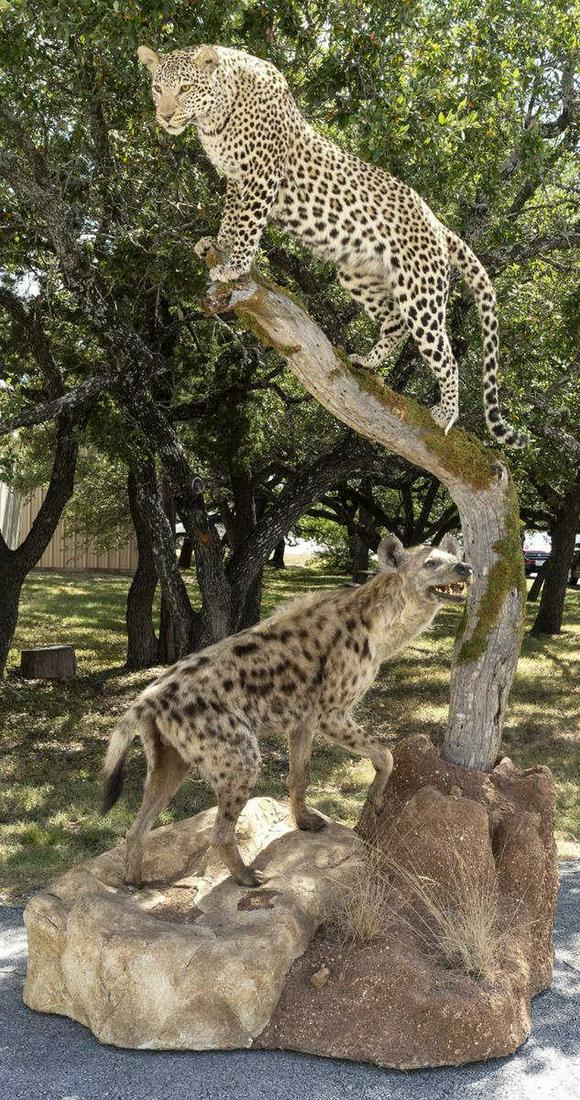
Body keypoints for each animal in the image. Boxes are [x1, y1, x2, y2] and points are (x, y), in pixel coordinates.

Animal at [101, 532, 472, 888]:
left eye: (456, 558)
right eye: (431, 563)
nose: (465, 568)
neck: (382, 628)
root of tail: (147, 698)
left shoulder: (304, 719)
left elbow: (300, 775)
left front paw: (306, 821)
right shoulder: (331, 713)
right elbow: (386, 755)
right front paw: (376, 800)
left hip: (170, 757)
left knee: (139, 823)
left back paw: (134, 882)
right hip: (237, 753)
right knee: (219, 830)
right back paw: (247, 877)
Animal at [137, 43, 527, 448]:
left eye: (184, 88)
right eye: (157, 88)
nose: (164, 116)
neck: (215, 116)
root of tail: (438, 223)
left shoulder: (261, 175)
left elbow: (248, 223)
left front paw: (235, 265)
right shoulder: (235, 179)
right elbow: (230, 217)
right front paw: (217, 244)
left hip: (421, 292)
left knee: (445, 354)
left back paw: (446, 414)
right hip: (358, 275)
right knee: (394, 323)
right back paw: (366, 362)